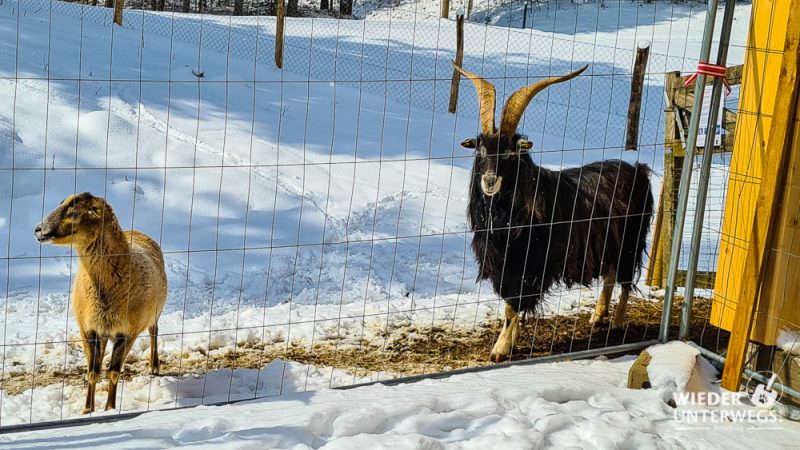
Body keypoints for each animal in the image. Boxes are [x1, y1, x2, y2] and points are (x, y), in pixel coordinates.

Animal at [35, 193, 166, 414]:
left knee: (153, 331)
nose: (38, 229)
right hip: (103, 330)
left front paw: (110, 408)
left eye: (75, 212)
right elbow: (92, 372)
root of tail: (136, 231)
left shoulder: (127, 332)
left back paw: (154, 367)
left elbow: (114, 372)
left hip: (153, 314)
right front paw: (87, 410)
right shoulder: (87, 329)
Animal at [454, 62, 652, 362]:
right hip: (610, 243)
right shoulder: (504, 266)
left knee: (625, 279)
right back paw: (597, 316)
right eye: (481, 148)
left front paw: (500, 349)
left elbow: (512, 305)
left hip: (632, 240)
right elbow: (511, 304)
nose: (488, 181)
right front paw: (511, 341)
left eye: (511, 152)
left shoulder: (528, 264)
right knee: (609, 275)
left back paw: (617, 322)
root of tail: (638, 170)